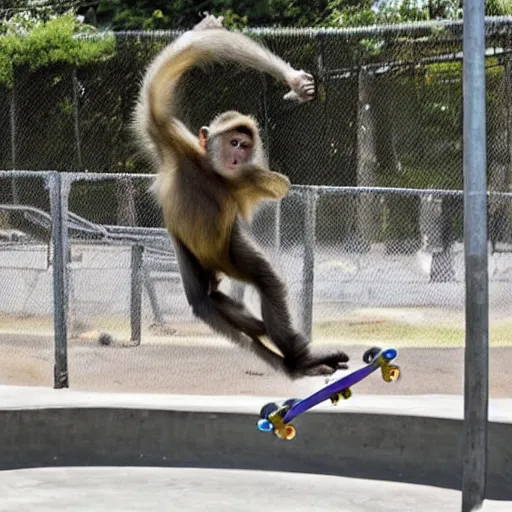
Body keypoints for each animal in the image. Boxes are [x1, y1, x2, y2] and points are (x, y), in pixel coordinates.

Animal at [132, 14, 350, 378]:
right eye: (234, 142)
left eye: (245, 146)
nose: (238, 156)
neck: (213, 177)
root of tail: (218, 264)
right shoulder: (173, 143)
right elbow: (179, 62)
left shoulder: (244, 181)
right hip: (197, 254)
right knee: (205, 301)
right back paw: (291, 359)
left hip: (230, 250)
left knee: (260, 281)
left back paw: (293, 356)